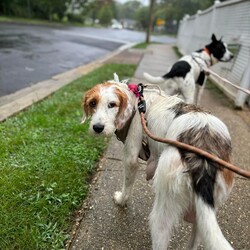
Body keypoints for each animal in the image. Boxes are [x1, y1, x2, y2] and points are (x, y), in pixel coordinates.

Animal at [81, 76, 233, 250]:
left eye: (112, 104)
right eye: (92, 103)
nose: (97, 127)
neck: (136, 101)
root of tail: (204, 157)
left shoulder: (131, 156)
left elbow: (127, 185)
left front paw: (121, 201)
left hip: (162, 213)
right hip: (203, 216)